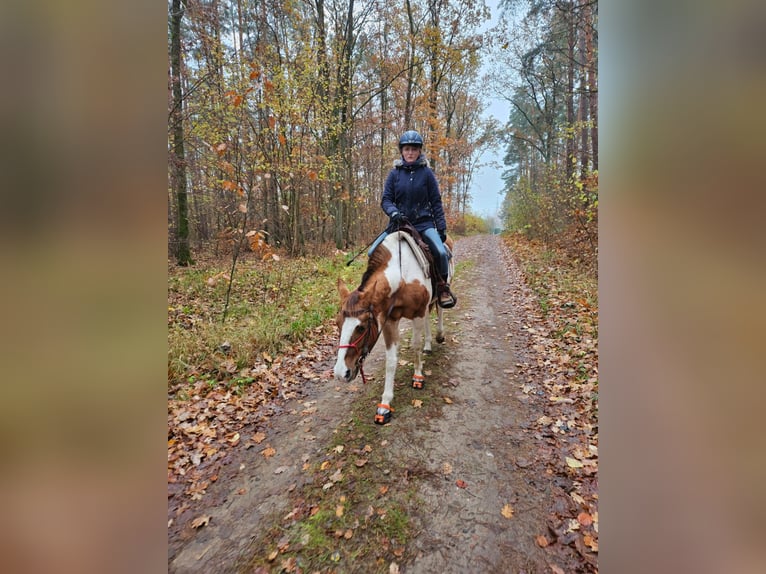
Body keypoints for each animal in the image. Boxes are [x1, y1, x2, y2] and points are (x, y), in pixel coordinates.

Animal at [332, 232, 452, 426]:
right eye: (337, 323)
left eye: (361, 327)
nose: (340, 373)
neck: (402, 276)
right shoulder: (389, 320)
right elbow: (390, 361)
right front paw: (385, 404)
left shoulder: (417, 313)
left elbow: (415, 346)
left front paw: (418, 377)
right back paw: (428, 346)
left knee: (440, 310)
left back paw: (440, 335)